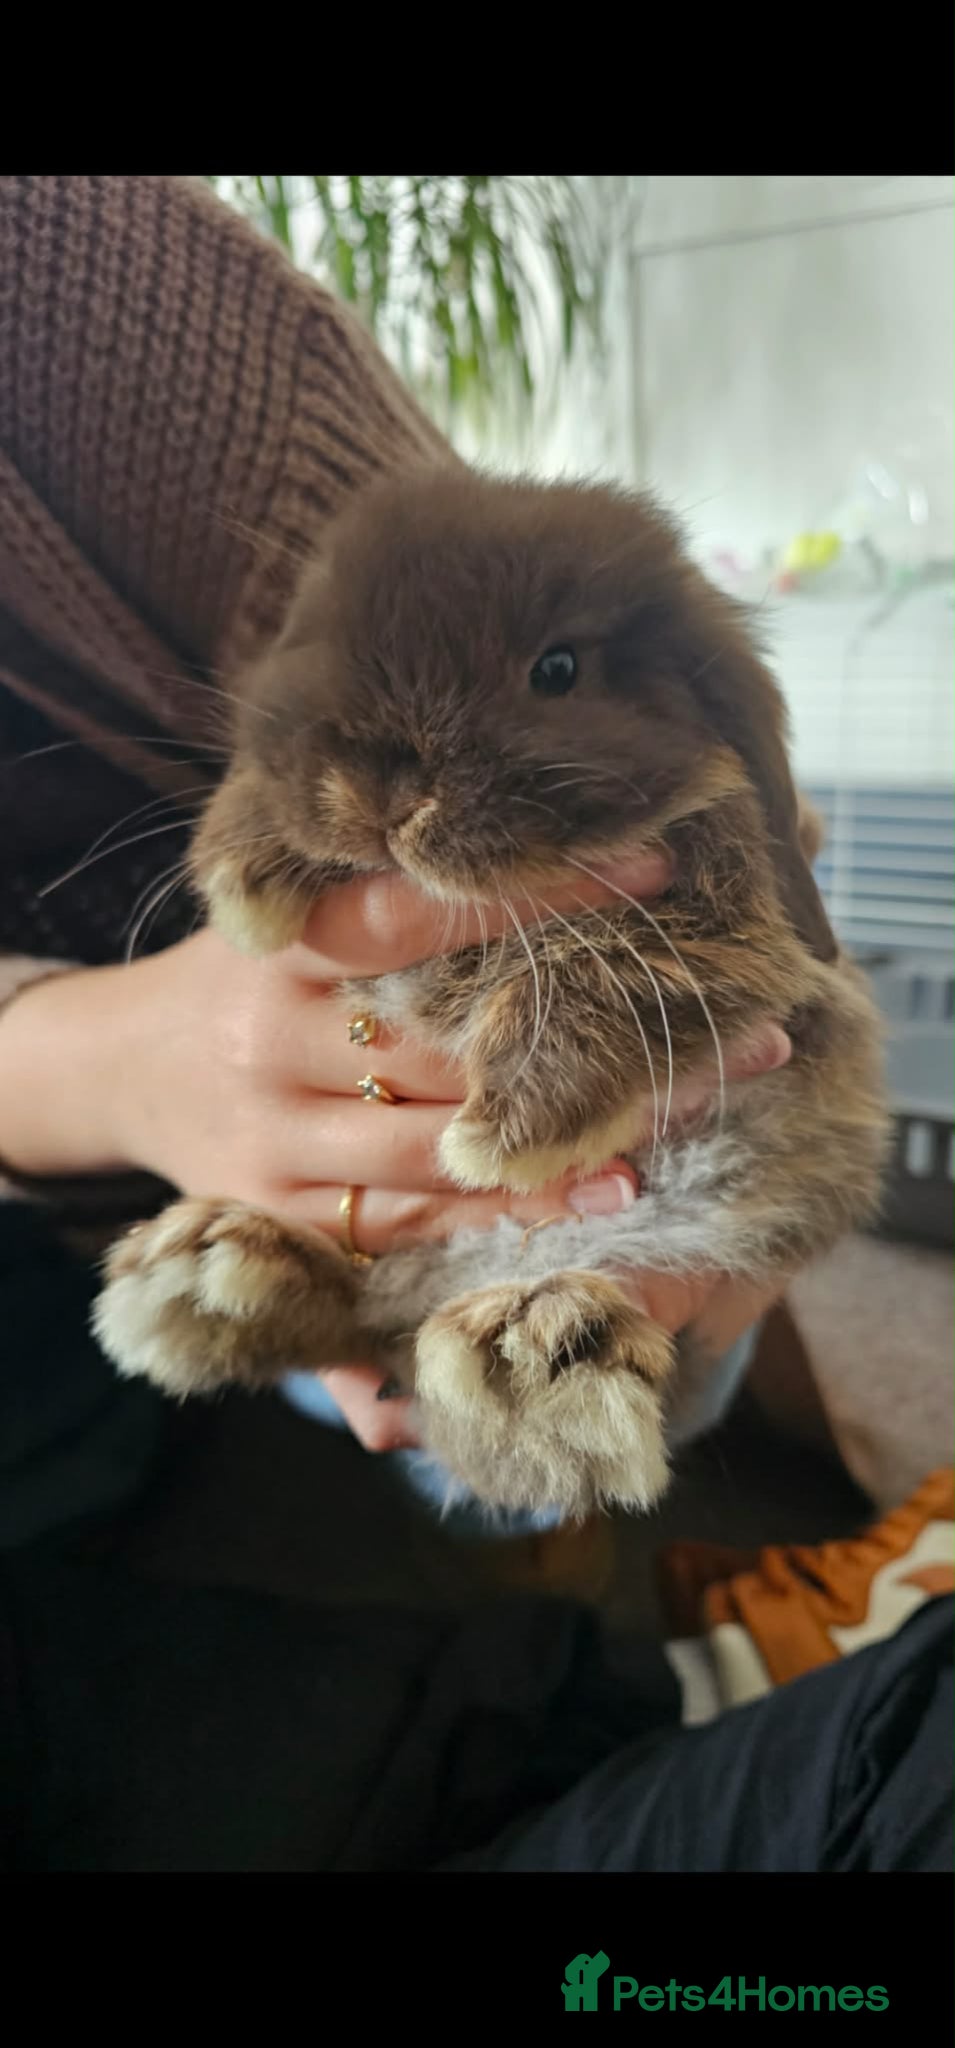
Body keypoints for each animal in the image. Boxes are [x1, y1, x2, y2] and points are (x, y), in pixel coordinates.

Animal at [93, 466, 889, 1521]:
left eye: (555, 671)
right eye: (311, 638)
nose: (378, 790)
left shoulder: (736, 933)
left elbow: (603, 959)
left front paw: (506, 1131)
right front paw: (243, 873)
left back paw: (531, 1358)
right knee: (365, 1320)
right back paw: (212, 1274)